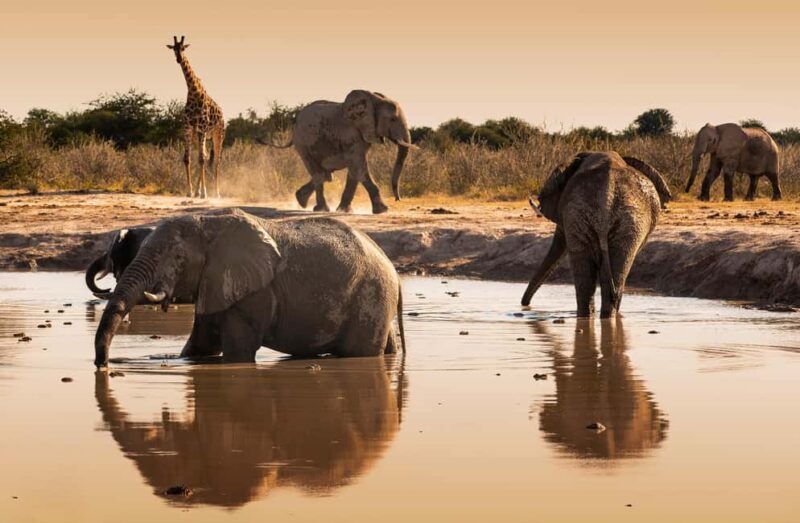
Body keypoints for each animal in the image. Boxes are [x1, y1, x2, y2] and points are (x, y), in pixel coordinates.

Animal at [93, 208, 406, 367]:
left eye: (178, 258)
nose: (103, 364)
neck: (209, 223)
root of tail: (395, 273)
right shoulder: (215, 280)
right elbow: (200, 345)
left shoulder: (255, 292)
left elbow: (237, 354)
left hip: (371, 297)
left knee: (358, 352)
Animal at [259, 90, 417, 215]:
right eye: (392, 119)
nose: (398, 199)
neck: (374, 100)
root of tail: (295, 125)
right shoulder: (350, 134)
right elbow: (358, 167)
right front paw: (383, 210)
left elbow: (354, 171)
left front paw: (344, 211)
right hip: (303, 145)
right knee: (319, 174)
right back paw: (321, 209)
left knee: (325, 175)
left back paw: (302, 201)